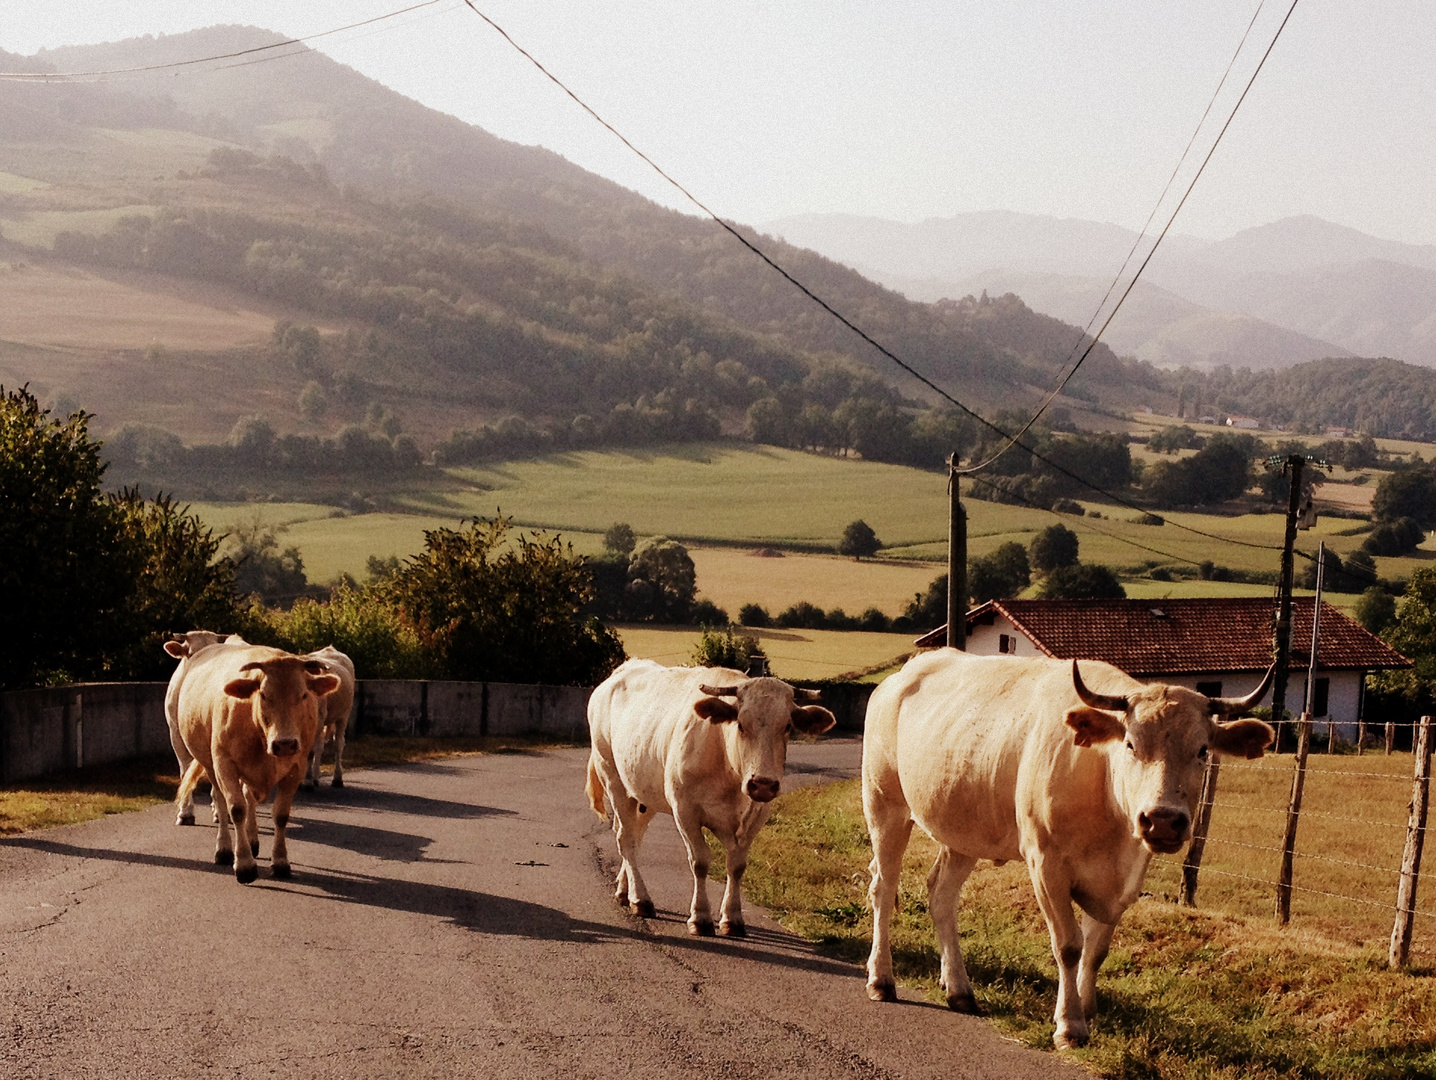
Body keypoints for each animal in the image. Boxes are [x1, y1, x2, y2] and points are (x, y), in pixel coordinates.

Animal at [173, 646, 338, 878]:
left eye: (304, 695)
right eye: (264, 695)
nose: (284, 744)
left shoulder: (297, 767)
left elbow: (281, 814)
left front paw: (280, 862)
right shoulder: (224, 763)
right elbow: (236, 809)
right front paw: (244, 864)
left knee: (248, 797)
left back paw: (252, 841)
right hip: (209, 764)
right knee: (221, 801)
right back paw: (224, 849)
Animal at [301, 646, 357, 787]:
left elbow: (310, 752)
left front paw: (307, 781)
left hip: (343, 716)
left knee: (338, 744)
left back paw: (337, 779)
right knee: (320, 746)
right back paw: (316, 777)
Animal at [583, 657, 838, 936]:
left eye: (787, 727)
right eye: (741, 724)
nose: (762, 784)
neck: (728, 771)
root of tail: (624, 669)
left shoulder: (757, 815)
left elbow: (737, 866)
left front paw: (732, 918)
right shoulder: (685, 811)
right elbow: (700, 861)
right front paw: (700, 917)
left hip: (643, 792)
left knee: (633, 836)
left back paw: (624, 890)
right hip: (613, 778)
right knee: (625, 838)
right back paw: (640, 899)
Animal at [855, 649, 1275, 1045]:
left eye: (1203, 750)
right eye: (1130, 744)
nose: (1162, 819)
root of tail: (899, 677)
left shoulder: (1124, 880)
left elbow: (1096, 950)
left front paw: (1087, 1011)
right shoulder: (1046, 862)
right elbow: (1070, 945)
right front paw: (1069, 1024)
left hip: (963, 830)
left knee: (941, 895)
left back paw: (959, 989)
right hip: (885, 805)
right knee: (883, 888)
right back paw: (881, 979)